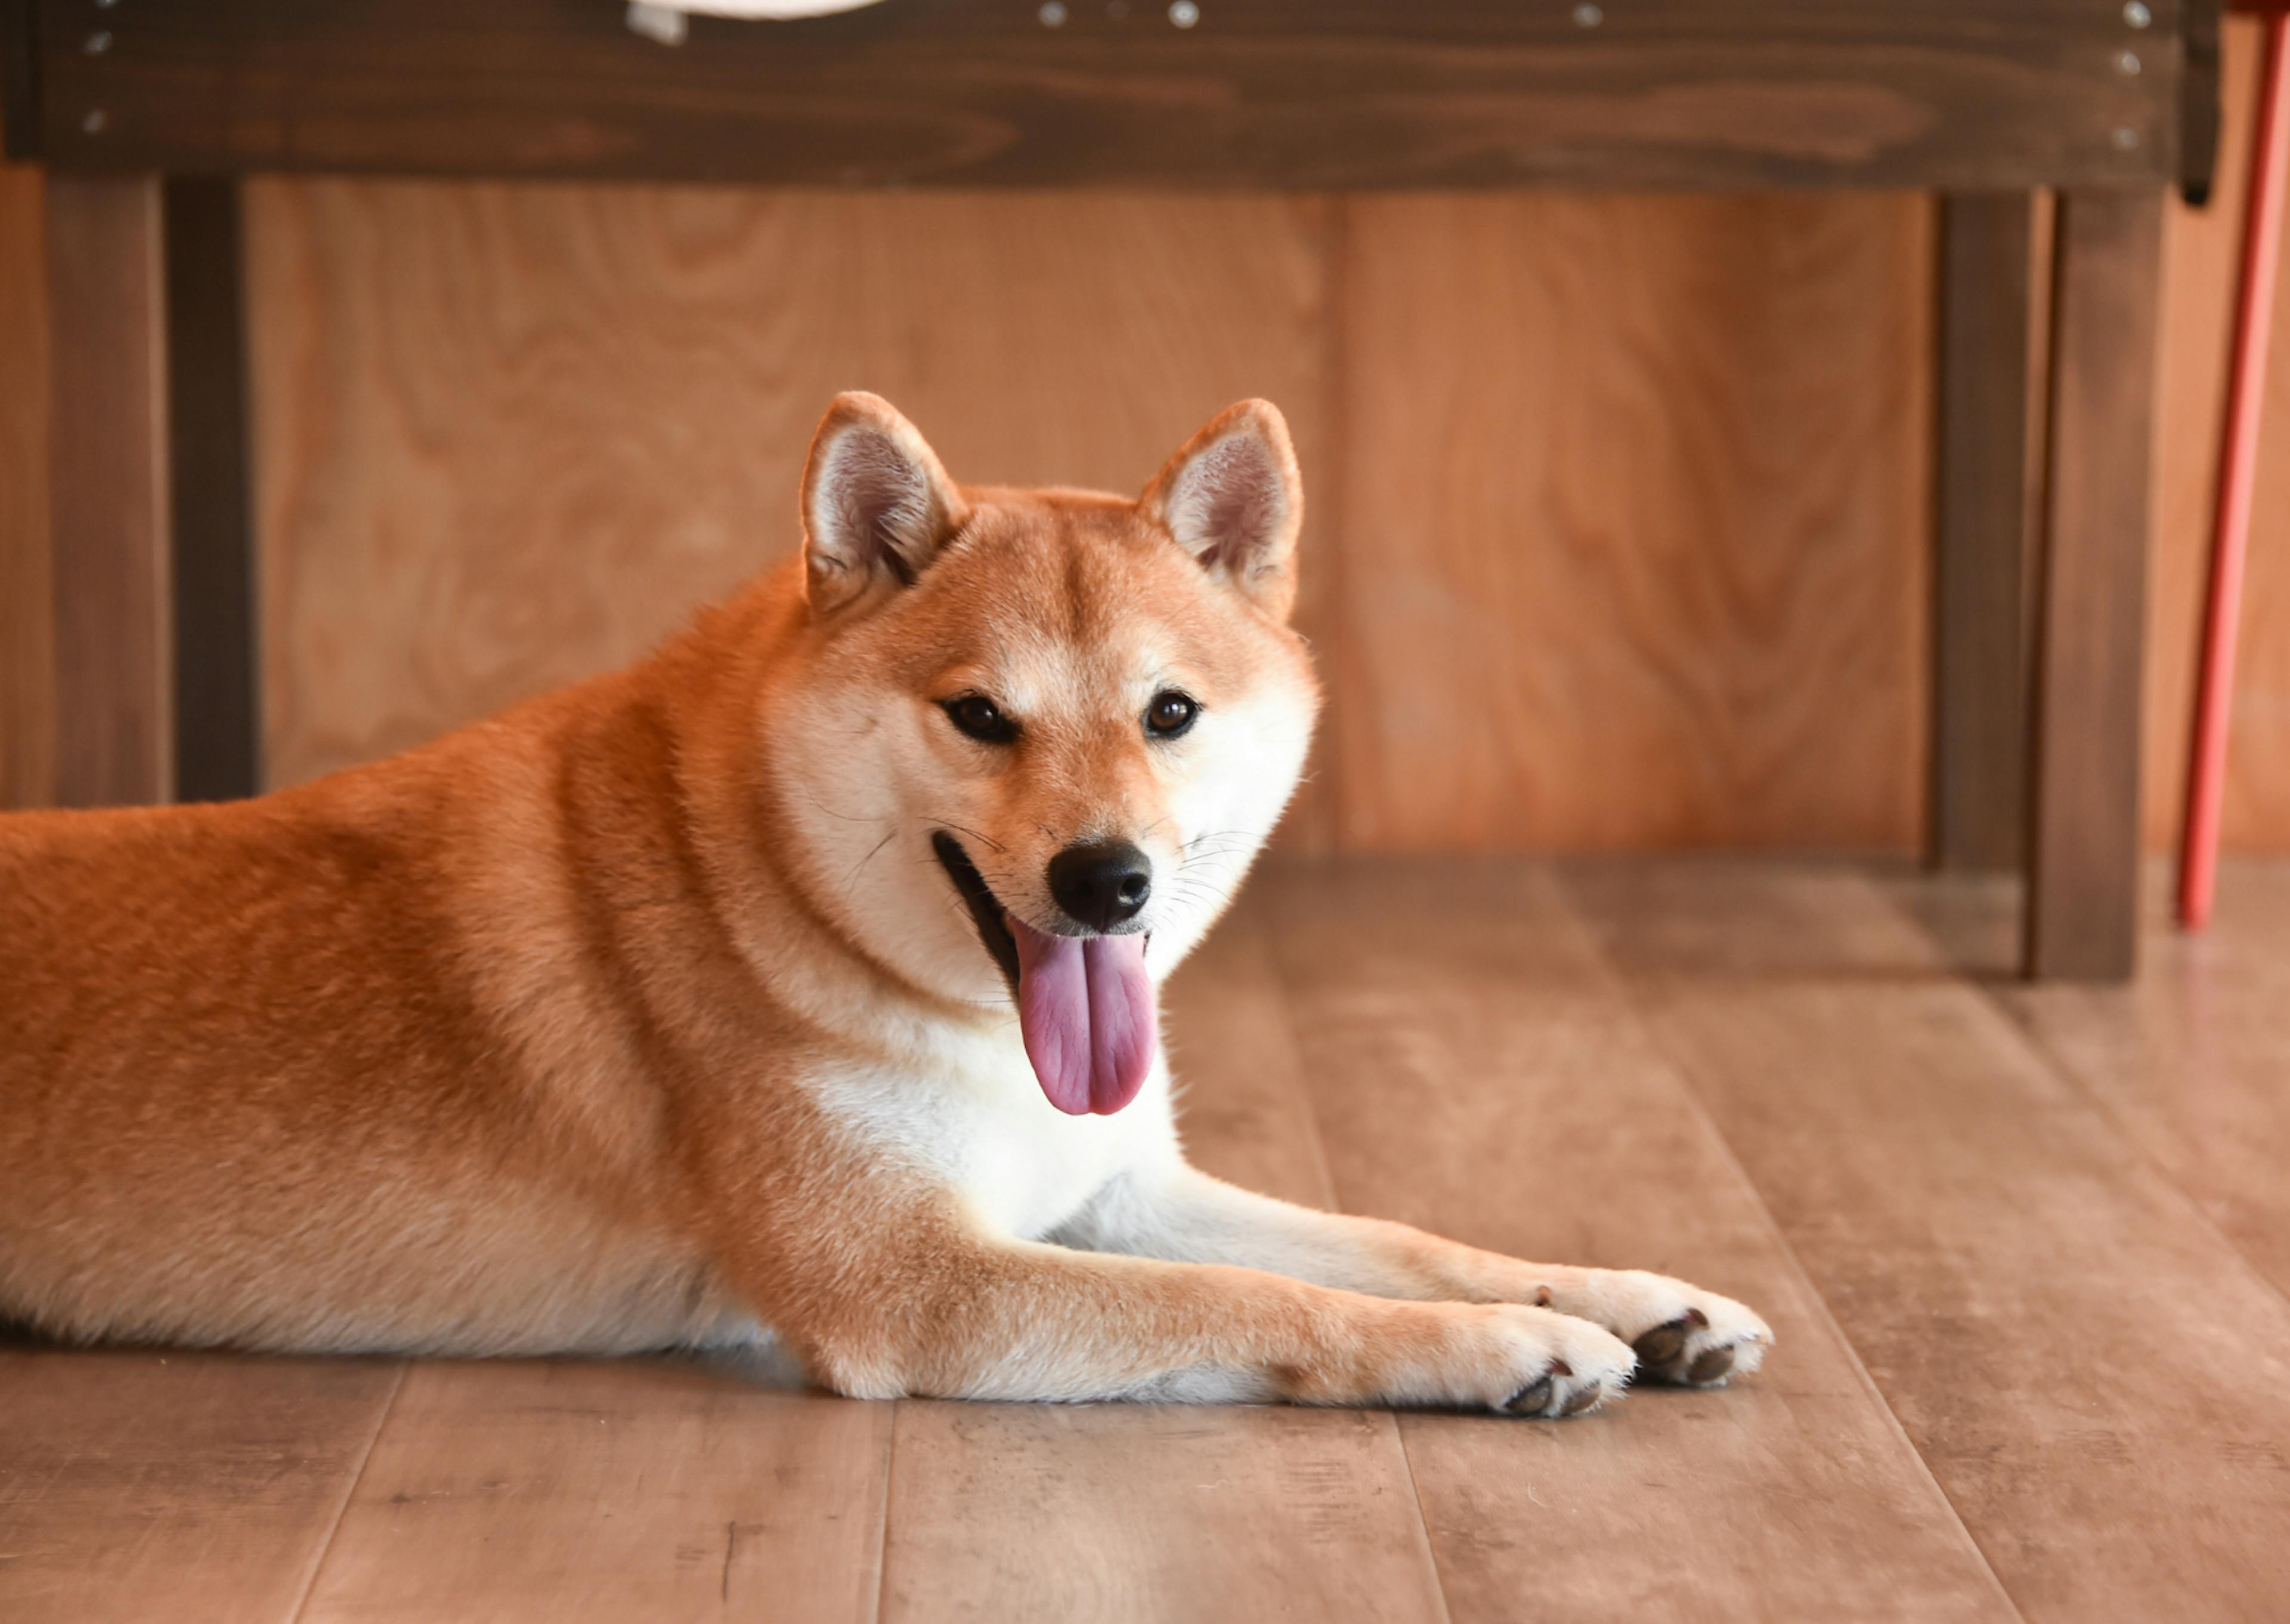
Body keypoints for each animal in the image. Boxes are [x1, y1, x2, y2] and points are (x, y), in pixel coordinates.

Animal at [0, 389, 1768, 1402]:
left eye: (1170, 714)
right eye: (979, 716)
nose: (1105, 877)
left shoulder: (1106, 1184)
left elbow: (1394, 1238)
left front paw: (1630, 1297)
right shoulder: (917, 1290)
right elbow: (1260, 1291)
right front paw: (1507, 1347)